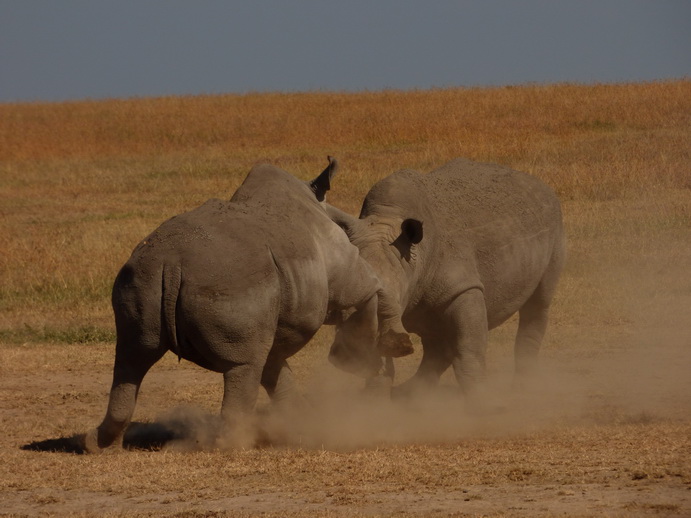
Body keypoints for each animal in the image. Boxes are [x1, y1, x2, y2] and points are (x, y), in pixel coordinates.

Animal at [83, 158, 411, 453]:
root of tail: (171, 263)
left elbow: (276, 370)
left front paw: (302, 423)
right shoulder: (348, 270)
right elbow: (377, 290)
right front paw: (380, 352)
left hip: (140, 279)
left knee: (132, 358)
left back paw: (100, 446)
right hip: (229, 283)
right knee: (242, 365)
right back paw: (233, 446)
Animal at [328, 158, 565, 407]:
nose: (345, 356)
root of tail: (540, 184)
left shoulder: (462, 287)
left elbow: (469, 346)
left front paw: (484, 403)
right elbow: (380, 353)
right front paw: (373, 402)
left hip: (554, 223)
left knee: (539, 302)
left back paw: (524, 387)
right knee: (435, 334)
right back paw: (410, 394)